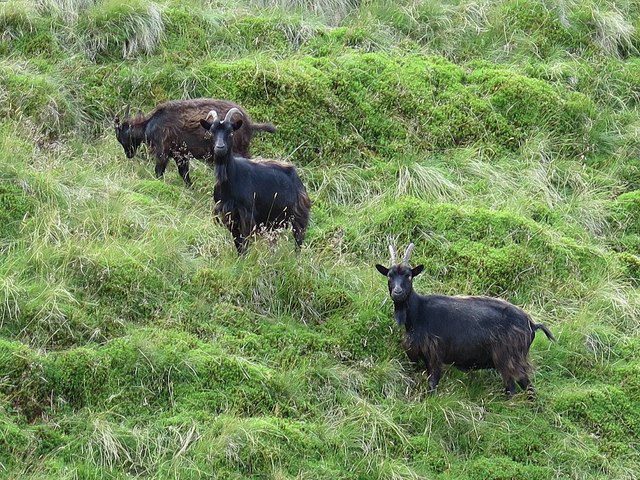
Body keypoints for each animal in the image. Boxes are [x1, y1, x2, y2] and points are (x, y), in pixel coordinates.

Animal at [115, 98, 276, 187]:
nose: (128, 154)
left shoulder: (163, 150)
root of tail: (249, 124)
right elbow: (184, 173)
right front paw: (191, 189)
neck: (149, 124)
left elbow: (159, 171)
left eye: (120, 136)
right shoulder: (180, 154)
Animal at [199, 107, 312, 253]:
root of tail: (297, 179)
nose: (220, 148)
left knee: (298, 241)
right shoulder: (229, 215)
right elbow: (237, 242)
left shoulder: (246, 216)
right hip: (274, 221)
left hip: (298, 216)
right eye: (212, 131)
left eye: (231, 132)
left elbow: (244, 242)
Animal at [376, 244, 556, 398]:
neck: (419, 311)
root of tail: (532, 324)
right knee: (527, 387)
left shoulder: (434, 354)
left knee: (513, 388)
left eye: (409, 275)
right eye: (389, 276)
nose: (397, 292)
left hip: (508, 358)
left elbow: (432, 383)